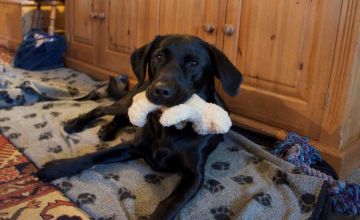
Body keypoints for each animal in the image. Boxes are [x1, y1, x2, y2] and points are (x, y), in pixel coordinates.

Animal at [37, 34, 242, 220]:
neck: (169, 126)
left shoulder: (195, 174)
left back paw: (107, 130)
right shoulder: (133, 146)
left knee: (119, 118)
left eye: (194, 62)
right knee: (102, 108)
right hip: (129, 103)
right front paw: (58, 167)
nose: (161, 90)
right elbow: (94, 155)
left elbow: (171, 202)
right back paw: (76, 124)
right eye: (158, 57)